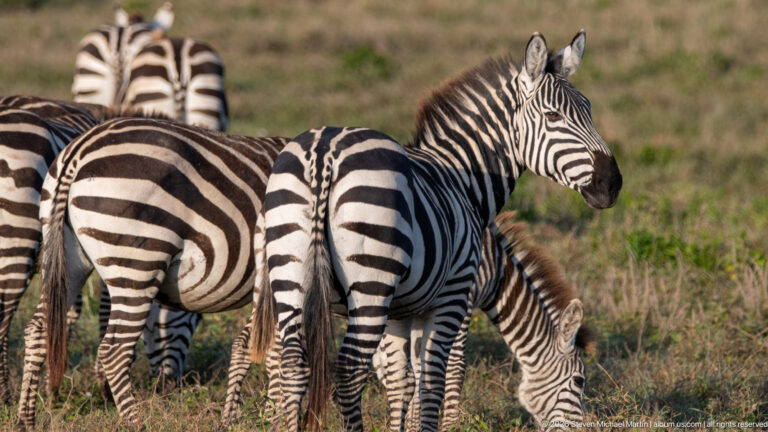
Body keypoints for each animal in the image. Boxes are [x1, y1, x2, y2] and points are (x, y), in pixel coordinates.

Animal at [16, 117, 286, 427]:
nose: (168, 387)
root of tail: (79, 150)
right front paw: (279, 415)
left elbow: (260, 345)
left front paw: (257, 416)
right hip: (137, 260)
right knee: (114, 351)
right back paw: (135, 422)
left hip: (67, 256)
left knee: (38, 330)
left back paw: (25, 419)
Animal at [250, 30, 621, 431]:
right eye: (553, 116)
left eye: (588, 110)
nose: (612, 183)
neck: (465, 178)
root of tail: (324, 153)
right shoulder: (454, 295)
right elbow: (436, 377)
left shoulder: (405, 309)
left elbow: (403, 380)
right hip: (369, 286)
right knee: (348, 372)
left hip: (289, 277)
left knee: (293, 366)